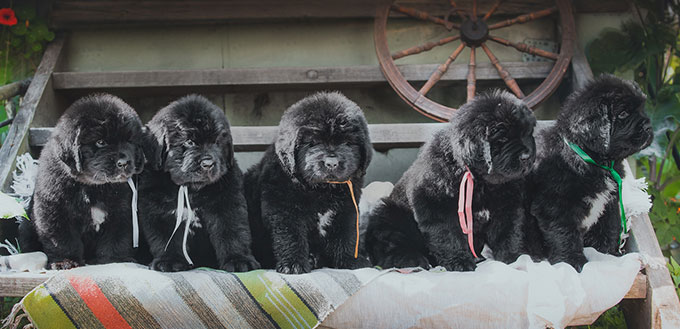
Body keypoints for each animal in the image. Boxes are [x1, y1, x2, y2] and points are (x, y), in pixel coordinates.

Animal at [19, 93, 146, 270]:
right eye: (100, 142)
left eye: (129, 141)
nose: (124, 162)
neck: (93, 187)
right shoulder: (54, 209)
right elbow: (62, 240)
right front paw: (65, 262)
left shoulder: (122, 211)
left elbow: (116, 238)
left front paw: (114, 260)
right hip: (26, 224)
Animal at [139, 94, 258, 272]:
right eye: (189, 142)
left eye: (217, 142)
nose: (208, 163)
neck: (191, 190)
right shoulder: (160, 210)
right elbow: (166, 239)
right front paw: (169, 261)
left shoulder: (227, 203)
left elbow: (233, 232)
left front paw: (239, 260)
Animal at [244, 91, 372, 272]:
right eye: (313, 143)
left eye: (347, 143)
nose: (332, 163)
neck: (322, 190)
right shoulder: (285, 210)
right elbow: (291, 238)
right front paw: (294, 265)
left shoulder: (347, 208)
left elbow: (346, 236)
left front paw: (350, 261)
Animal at [366, 89, 536, 270]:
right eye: (502, 139)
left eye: (527, 134)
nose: (527, 156)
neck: (480, 181)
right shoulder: (437, 205)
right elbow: (449, 237)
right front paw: (460, 263)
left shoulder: (506, 206)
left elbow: (508, 233)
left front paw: (513, 258)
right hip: (387, 211)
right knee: (390, 245)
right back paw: (410, 259)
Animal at [524, 75, 652, 272]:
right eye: (623, 114)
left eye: (641, 108)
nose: (648, 127)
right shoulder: (555, 206)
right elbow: (564, 234)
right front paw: (572, 262)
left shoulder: (610, 203)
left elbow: (608, 229)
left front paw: (606, 254)